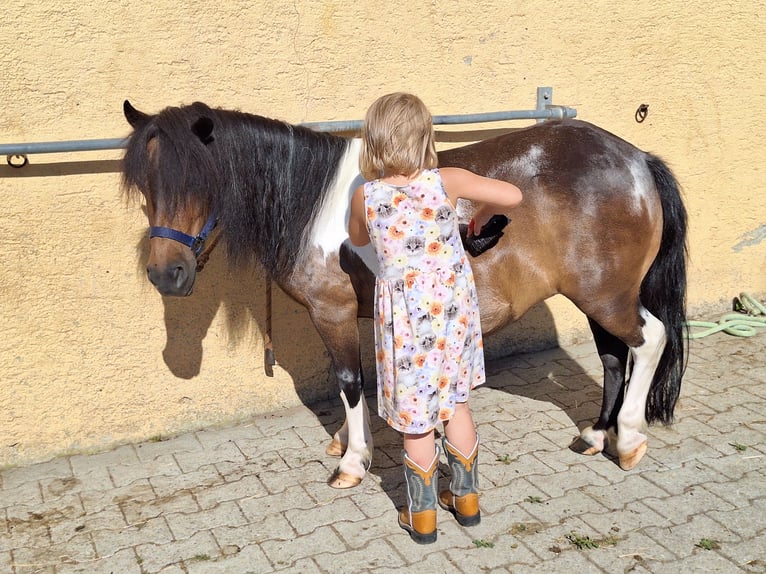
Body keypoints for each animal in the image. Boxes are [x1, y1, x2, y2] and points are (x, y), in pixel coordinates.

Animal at [121, 99, 687, 489]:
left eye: (198, 182)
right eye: (146, 186)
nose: (166, 274)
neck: (312, 203)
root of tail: (636, 158)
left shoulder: (332, 313)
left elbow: (350, 383)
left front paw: (354, 461)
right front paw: (346, 443)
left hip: (606, 296)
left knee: (649, 340)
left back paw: (629, 438)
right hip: (596, 295)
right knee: (613, 357)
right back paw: (595, 435)